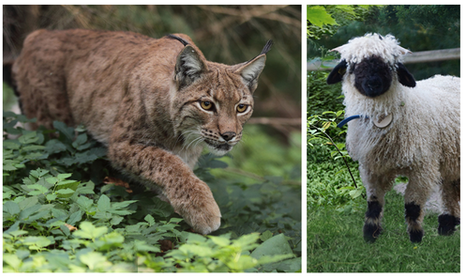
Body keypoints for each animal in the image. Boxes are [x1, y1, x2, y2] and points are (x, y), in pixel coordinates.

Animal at [324, 32, 458, 243]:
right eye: (353, 65)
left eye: (389, 65)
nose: (373, 84)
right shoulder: (371, 168)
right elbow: (374, 203)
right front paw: (370, 235)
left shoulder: (423, 167)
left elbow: (412, 205)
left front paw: (416, 238)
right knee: (451, 188)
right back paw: (447, 227)